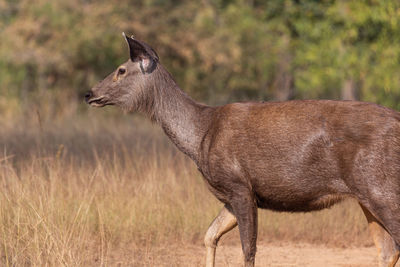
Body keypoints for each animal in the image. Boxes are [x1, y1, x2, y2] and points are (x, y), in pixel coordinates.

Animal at [86, 34, 400, 267]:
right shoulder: (231, 195)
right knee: (387, 251)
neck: (200, 136)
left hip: (381, 186)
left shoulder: (239, 185)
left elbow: (248, 250)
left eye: (121, 70)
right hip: (367, 196)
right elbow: (209, 235)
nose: (89, 93)